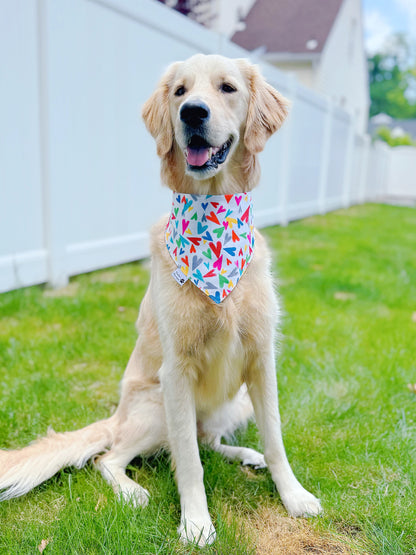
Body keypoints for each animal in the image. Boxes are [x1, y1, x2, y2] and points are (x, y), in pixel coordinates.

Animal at [0, 55, 322, 548]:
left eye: (227, 88)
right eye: (180, 92)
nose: (192, 113)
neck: (213, 221)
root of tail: (115, 417)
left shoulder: (261, 359)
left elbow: (275, 440)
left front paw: (293, 495)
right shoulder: (176, 373)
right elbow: (187, 461)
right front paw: (196, 522)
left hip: (235, 402)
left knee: (208, 441)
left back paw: (244, 453)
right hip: (153, 406)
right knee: (111, 457)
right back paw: (131, 491)